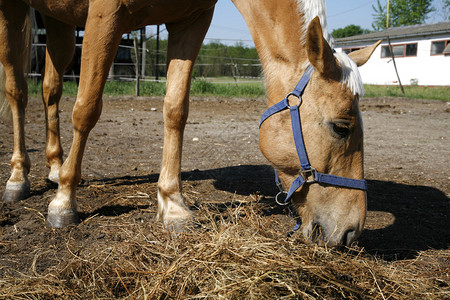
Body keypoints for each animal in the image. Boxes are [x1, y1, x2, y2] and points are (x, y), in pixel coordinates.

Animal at [0, 0, 380, 246]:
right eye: (341, 127)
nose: (351, 231)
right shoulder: (105, 14)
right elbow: (87, 107)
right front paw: (64, 202)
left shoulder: (192, 19)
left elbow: (176, 108)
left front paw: (173, 206)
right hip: (15, 9)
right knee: (17, 89)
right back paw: (19, 178)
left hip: (59, 20)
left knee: (50, 88)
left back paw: (54, 166)